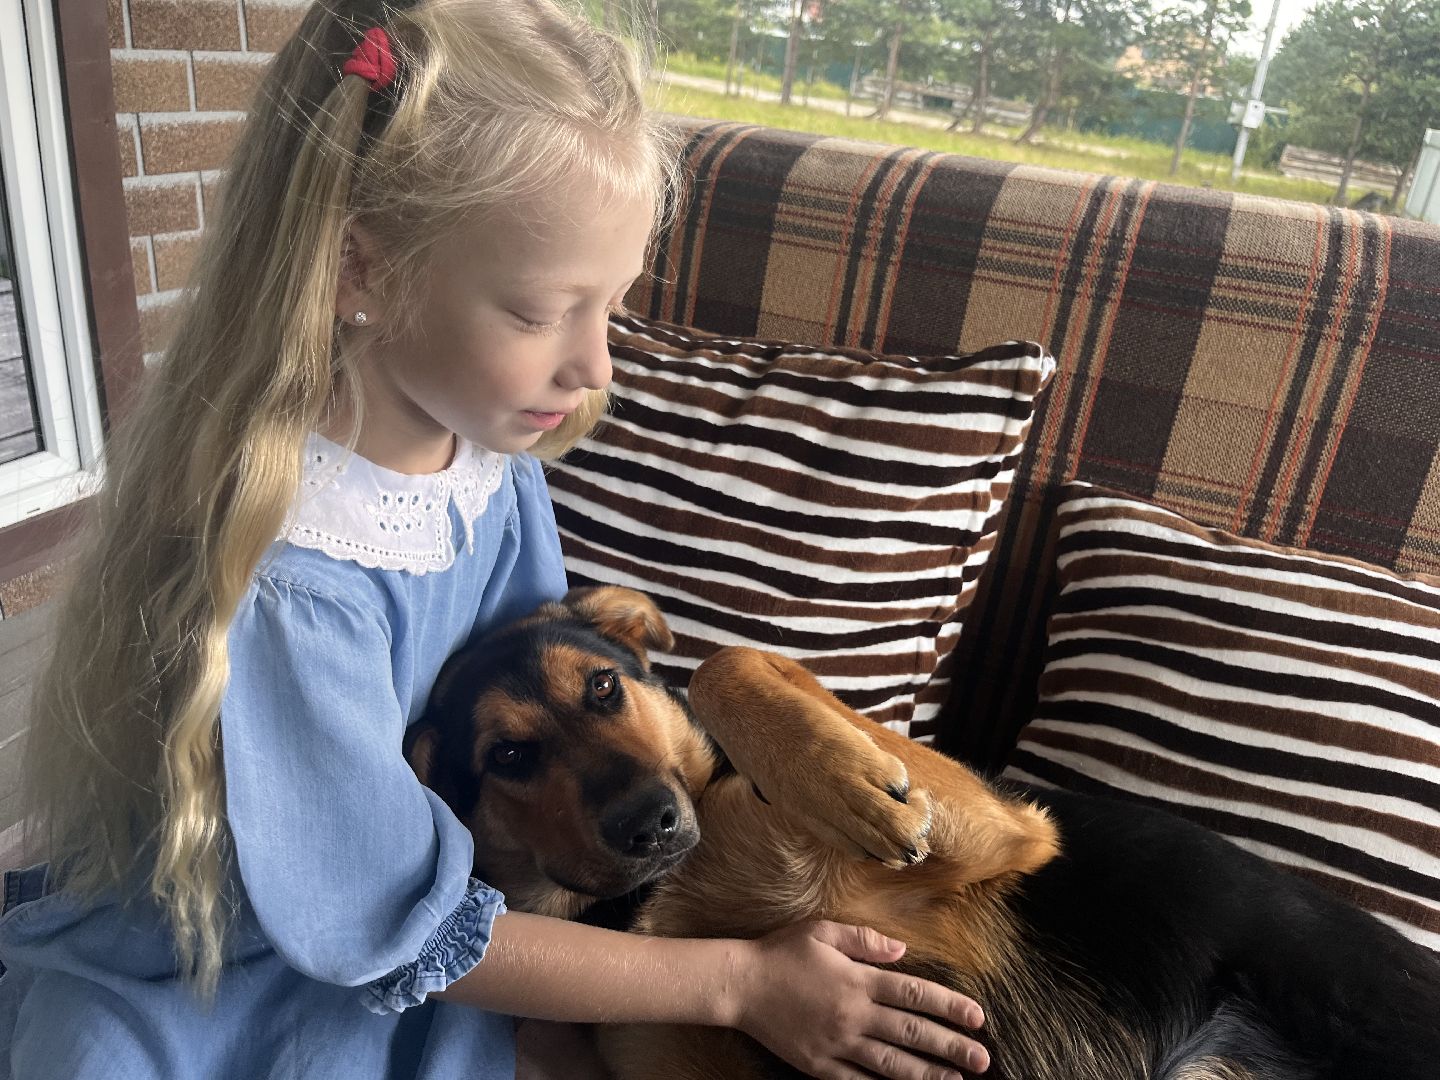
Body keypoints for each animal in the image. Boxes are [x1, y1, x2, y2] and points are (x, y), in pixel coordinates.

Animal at [406, 586, 1440, 1080]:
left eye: (604, 688)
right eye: (508, 756)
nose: (651, 823)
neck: (658, 898)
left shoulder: (1001, 832)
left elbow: (728, 663)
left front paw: (851, 783)